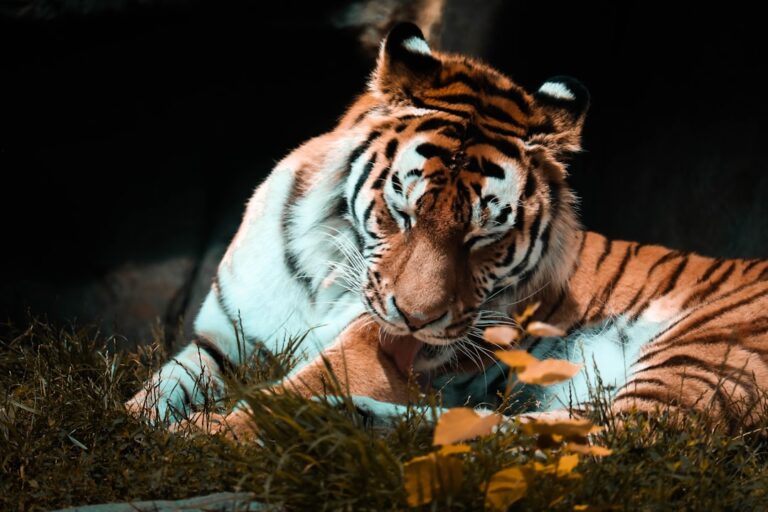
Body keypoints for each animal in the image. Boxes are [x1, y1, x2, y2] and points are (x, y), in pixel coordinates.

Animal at [126, 22, 768, 436]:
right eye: (401, 213)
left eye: (485, 237)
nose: (416, 321)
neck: (326, 271)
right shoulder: (222, 339)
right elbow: (158, 389)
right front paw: (128, 427)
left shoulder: (371, 348)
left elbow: (284, 393)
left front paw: (200, 437)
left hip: (703, 350)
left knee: (610, 442)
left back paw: (340, 420)